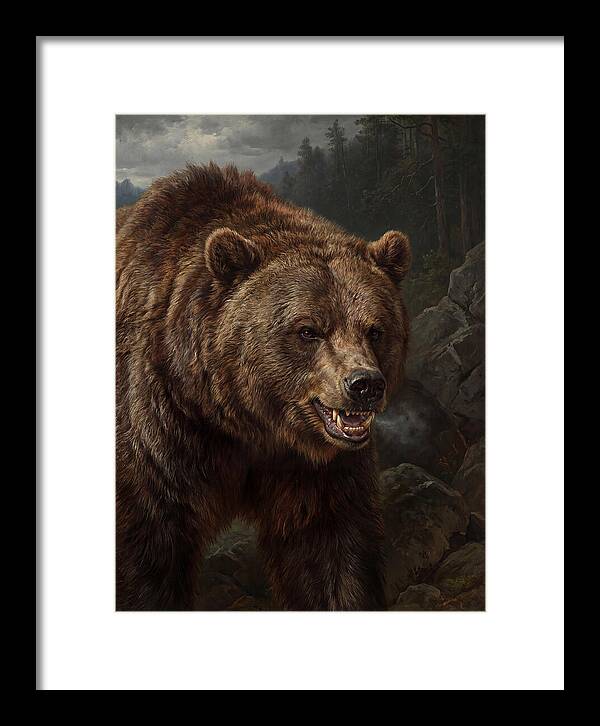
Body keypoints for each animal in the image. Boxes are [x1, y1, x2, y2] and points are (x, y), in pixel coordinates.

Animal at [116, 163, 411, 611]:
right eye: (308, 330)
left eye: (375, 329)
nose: (365, 385)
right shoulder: (157, 431)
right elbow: (147, 553)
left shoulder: (315, 469)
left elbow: (330, 552)